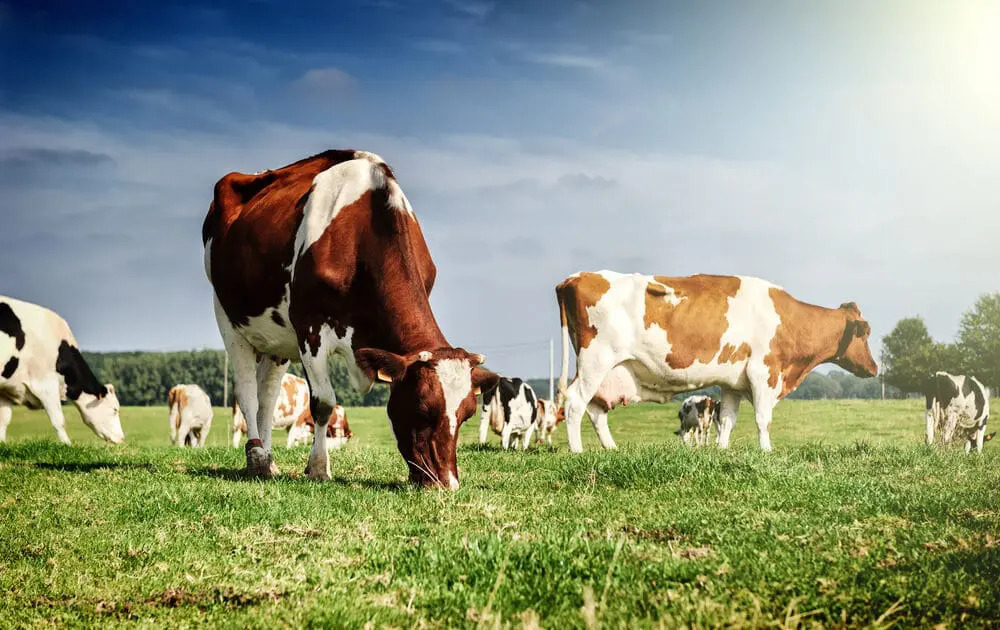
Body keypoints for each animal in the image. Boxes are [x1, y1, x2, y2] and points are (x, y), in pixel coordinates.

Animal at [0, 296, 124, 445]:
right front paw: (67, 445)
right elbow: (59, 421)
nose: (122, 438)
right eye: (115, 409)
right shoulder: (45, 385)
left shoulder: (6, 389)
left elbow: (4, 420)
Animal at [203, 149, 498, 487]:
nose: (447, 484)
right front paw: (319, 468)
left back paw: (269, 460)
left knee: (267, 396)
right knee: (247, 393)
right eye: (422, 408)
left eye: (468, 413)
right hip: (228, 317)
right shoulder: (310, 327)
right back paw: (256, 457)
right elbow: (323, 402)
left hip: (276, 338)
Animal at [555, 271, 878, 453]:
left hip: (608, 370)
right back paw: (577, 452)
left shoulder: (733, 382)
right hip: (595, 361)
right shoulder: (764, 372)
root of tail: (576, 277)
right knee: (575, 403)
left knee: (595, 409)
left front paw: (722, 451)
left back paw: (611, 448)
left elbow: (727, 421)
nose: (875, 367)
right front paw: (767, 452)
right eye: (866, 332)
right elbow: (763, 419)